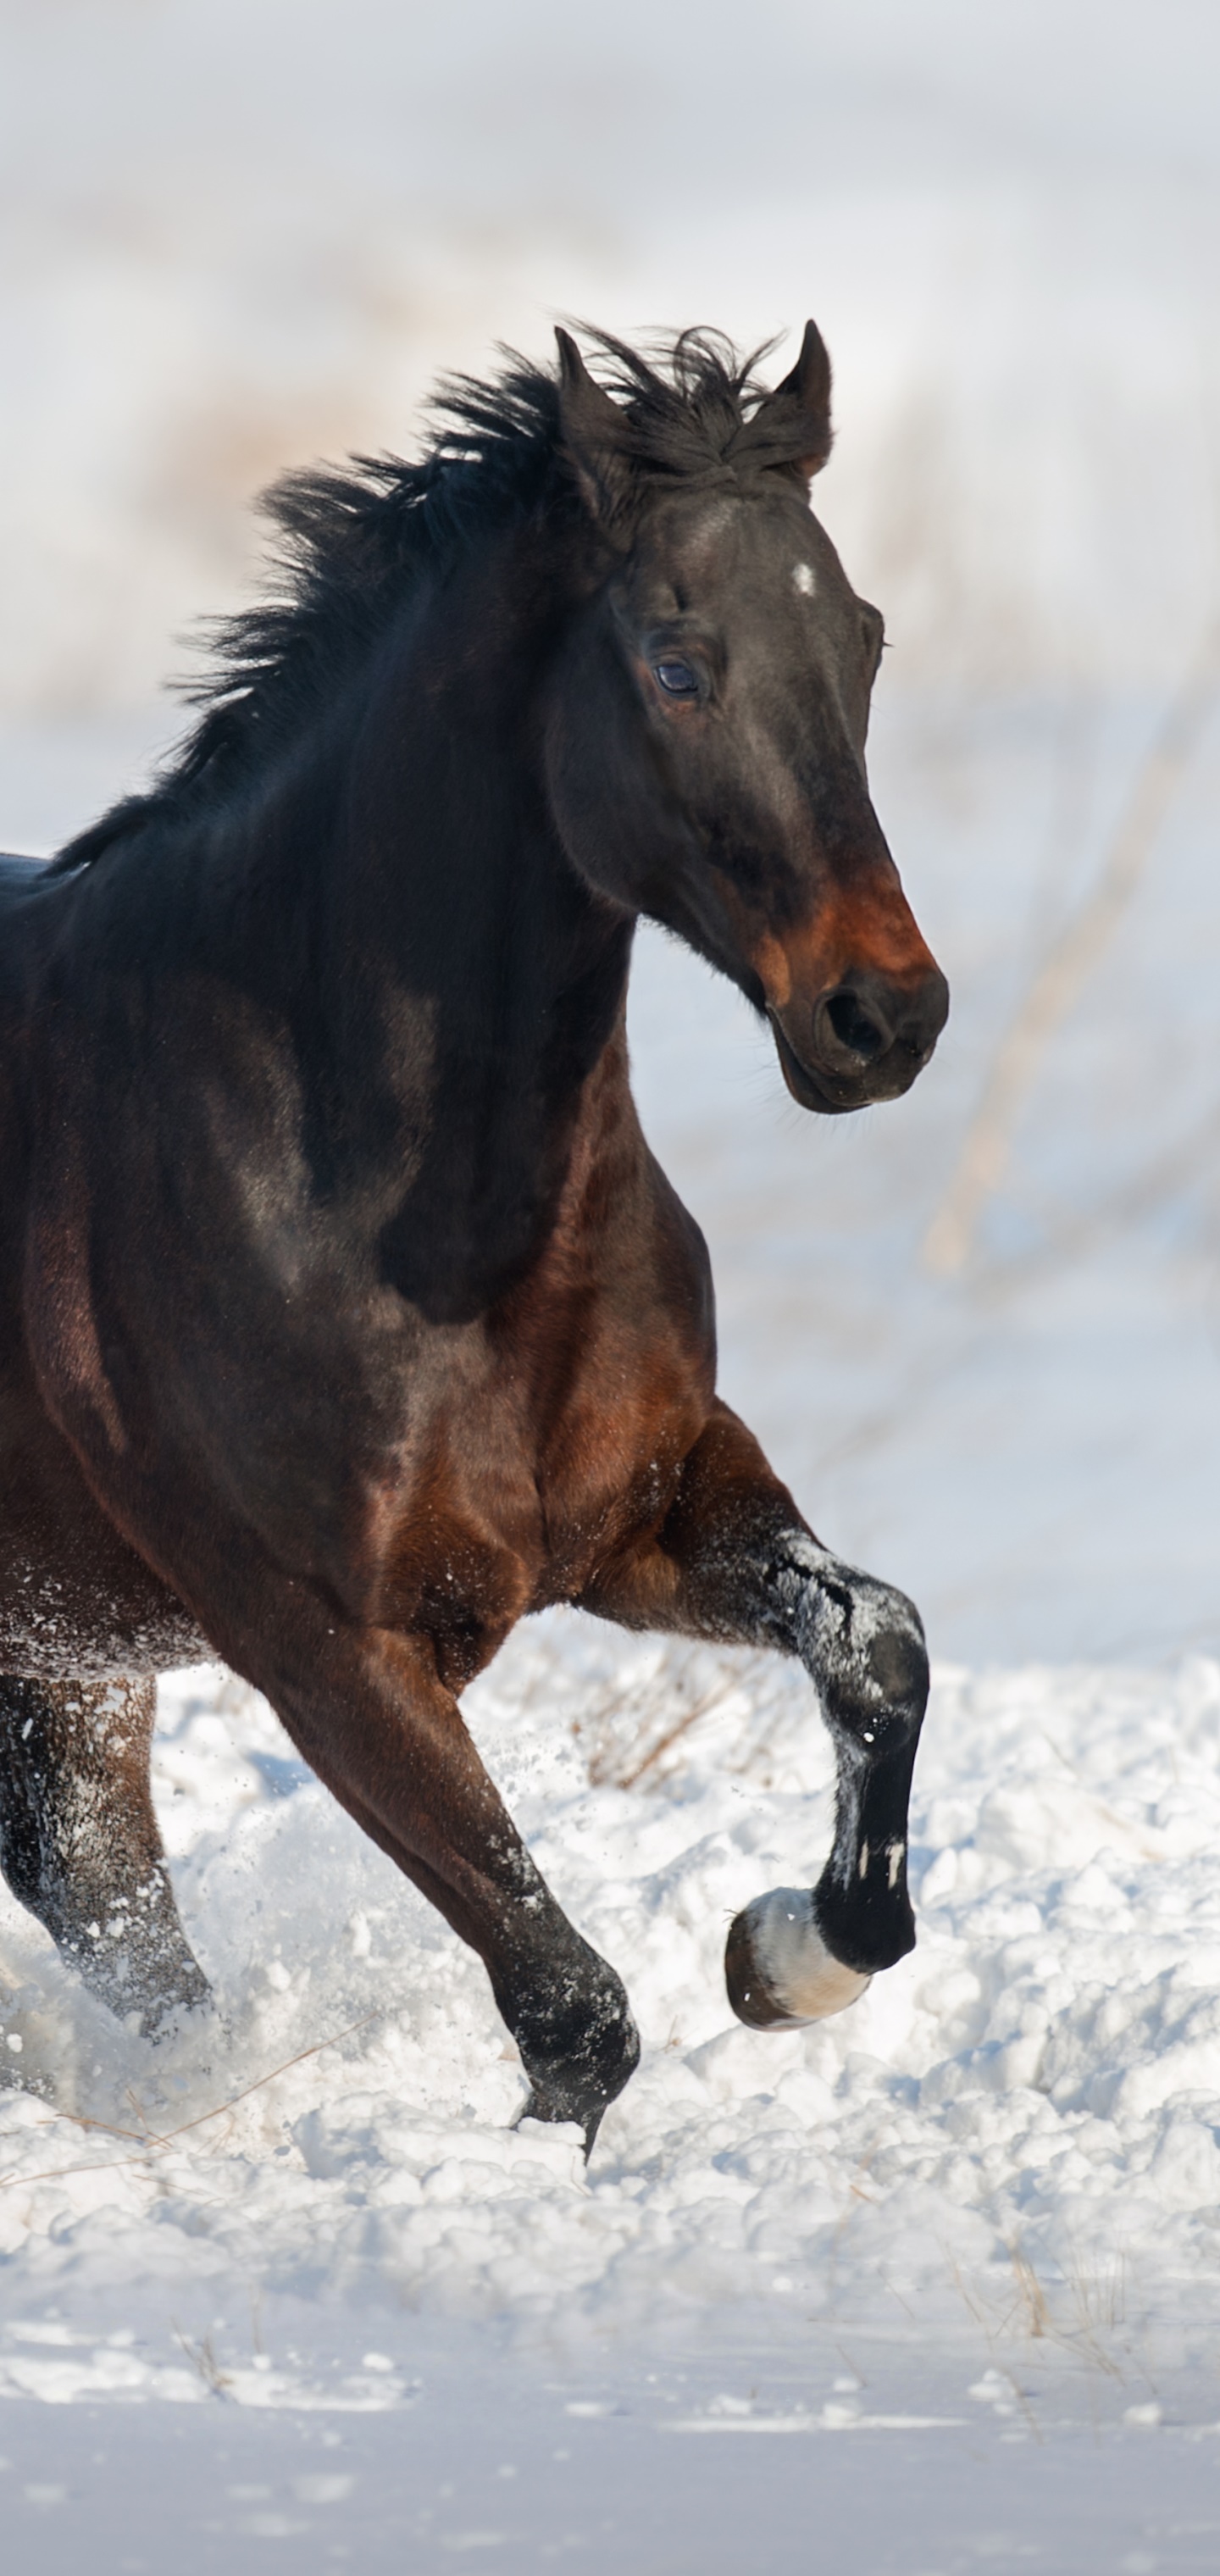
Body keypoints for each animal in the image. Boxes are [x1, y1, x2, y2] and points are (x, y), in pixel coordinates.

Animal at [0, 323, 947, 2148]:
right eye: (676, 661)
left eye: (863, 636)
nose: (885, 1018)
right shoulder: (324, 1645)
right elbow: (570, 2008)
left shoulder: (652, 1514)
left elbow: (877, 1641)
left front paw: (784, 1955)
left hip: (63, 1694)